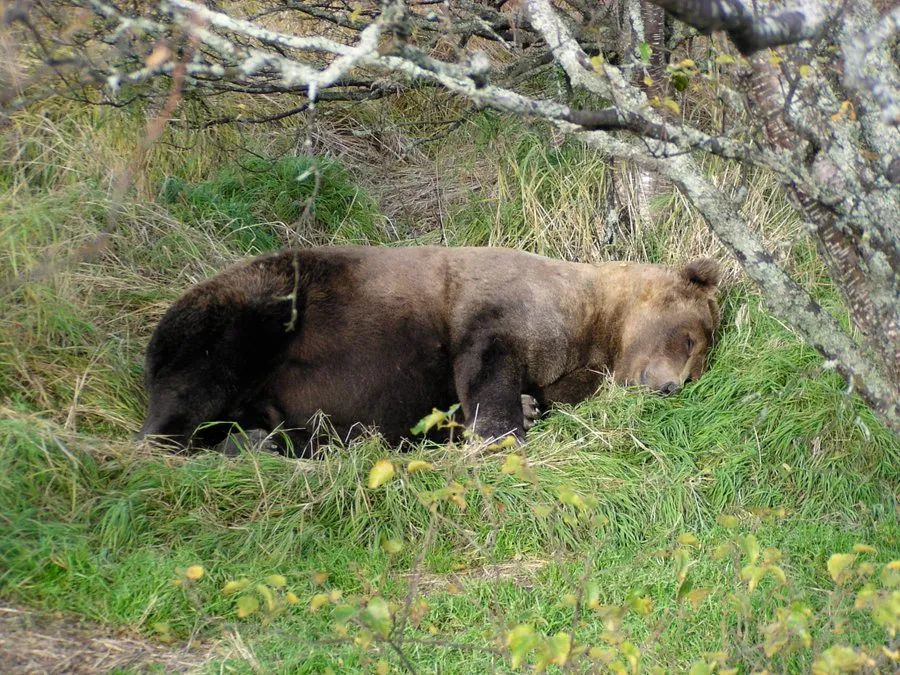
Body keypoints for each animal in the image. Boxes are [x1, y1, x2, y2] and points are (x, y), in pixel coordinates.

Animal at [135, 246, 724, 456]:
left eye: (698, 364)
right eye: (690, 338)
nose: (671, 385)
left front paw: (521, 411)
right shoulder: (501, 307)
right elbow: (486, 365)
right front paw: (502, 433)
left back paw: (253, 441)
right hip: (255, 310)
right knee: (202, 373)